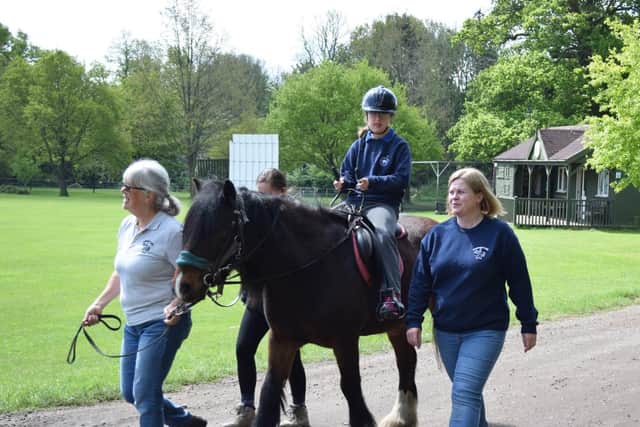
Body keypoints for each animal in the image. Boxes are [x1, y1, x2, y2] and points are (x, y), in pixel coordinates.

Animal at [175, 179, 437, 427]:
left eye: (219, 231)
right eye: (186, 227)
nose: (183, 285)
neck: (308, 263)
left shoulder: (345, 340)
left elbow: (351, 387)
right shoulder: (282, 340)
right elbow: (270, 390)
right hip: (398, 326)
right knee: (406, 362)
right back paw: (401, 417)